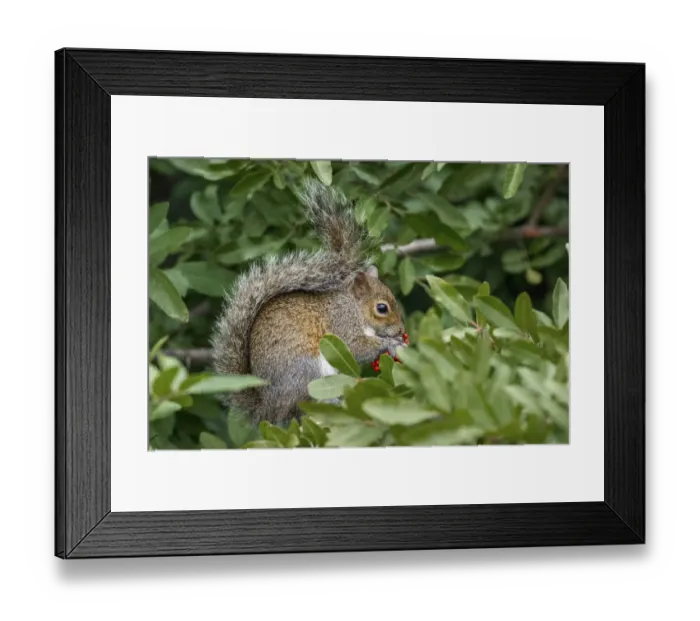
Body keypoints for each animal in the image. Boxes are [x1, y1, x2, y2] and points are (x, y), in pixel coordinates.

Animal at [211, 178, 406, 425]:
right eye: (382, 308)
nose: (401, 330)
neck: (354, 307)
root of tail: (268, 411)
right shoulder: (341, 323)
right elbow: (355, 347)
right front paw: (390, 343)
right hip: (305, 370)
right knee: (300, 407)